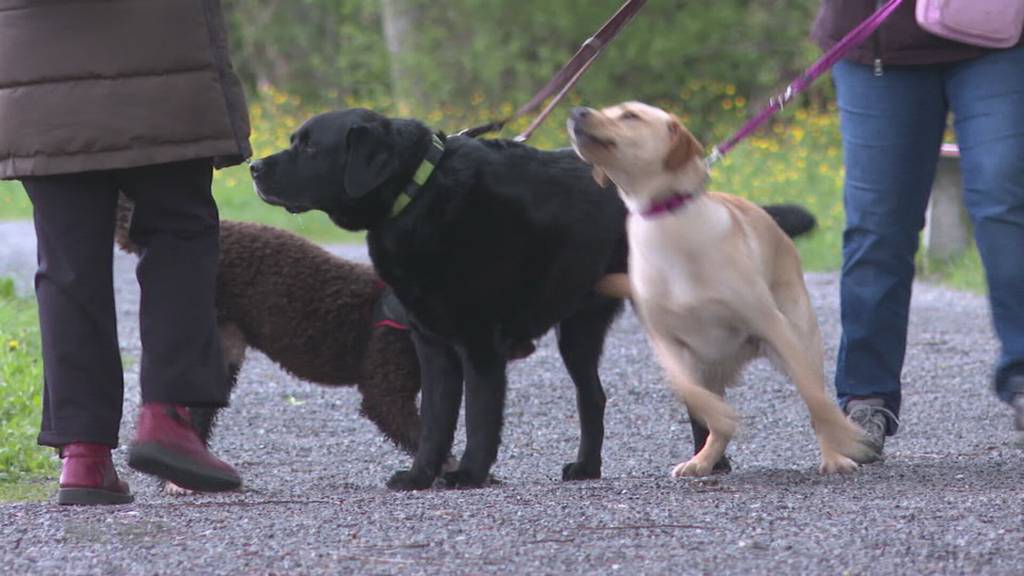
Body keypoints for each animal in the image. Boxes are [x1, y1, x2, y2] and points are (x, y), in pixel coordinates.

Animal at [249, 106, 815, 483]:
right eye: (295, 140)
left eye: (309, 146)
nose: (253, 167)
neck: (420, 191)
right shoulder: (433, 342)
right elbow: (434, 420)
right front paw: (420, 475)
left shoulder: (479, 342)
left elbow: (478, 416)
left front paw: (469, 474)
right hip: (579, 330)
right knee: (595, 396)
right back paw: (589, 467)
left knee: (699, 395)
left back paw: (711, 461)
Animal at [569, 101, 872, 475]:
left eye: (629, 115)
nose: (577, 111)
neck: (668, 223)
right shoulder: (666, 341)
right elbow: (691, 392)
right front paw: (721, 419)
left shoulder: (771, 325)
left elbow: (817, 402)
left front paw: (847, 440)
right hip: (708, 364)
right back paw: (703, 459)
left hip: (801, 339)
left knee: (817, 399)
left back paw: (834, 455)